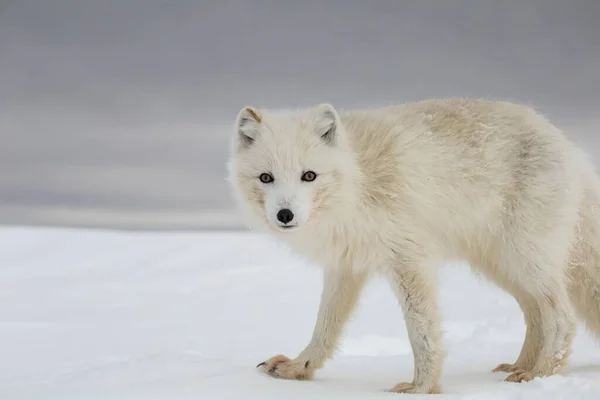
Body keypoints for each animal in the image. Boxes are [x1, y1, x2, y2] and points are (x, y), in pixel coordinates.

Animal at [226, 99, 600, 394]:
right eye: (266, 178)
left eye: (309, 176)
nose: (285, 214)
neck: (357, 184)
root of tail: (569, 145)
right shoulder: (345, 266)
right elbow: (325, 326)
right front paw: (300, 367)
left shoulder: (410, 260)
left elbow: (421, 330)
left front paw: (422, 387)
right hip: (502, 267)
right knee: (536, 314)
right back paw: (520, 366)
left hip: (523, 258)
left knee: (561, 317)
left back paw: (541, 375)